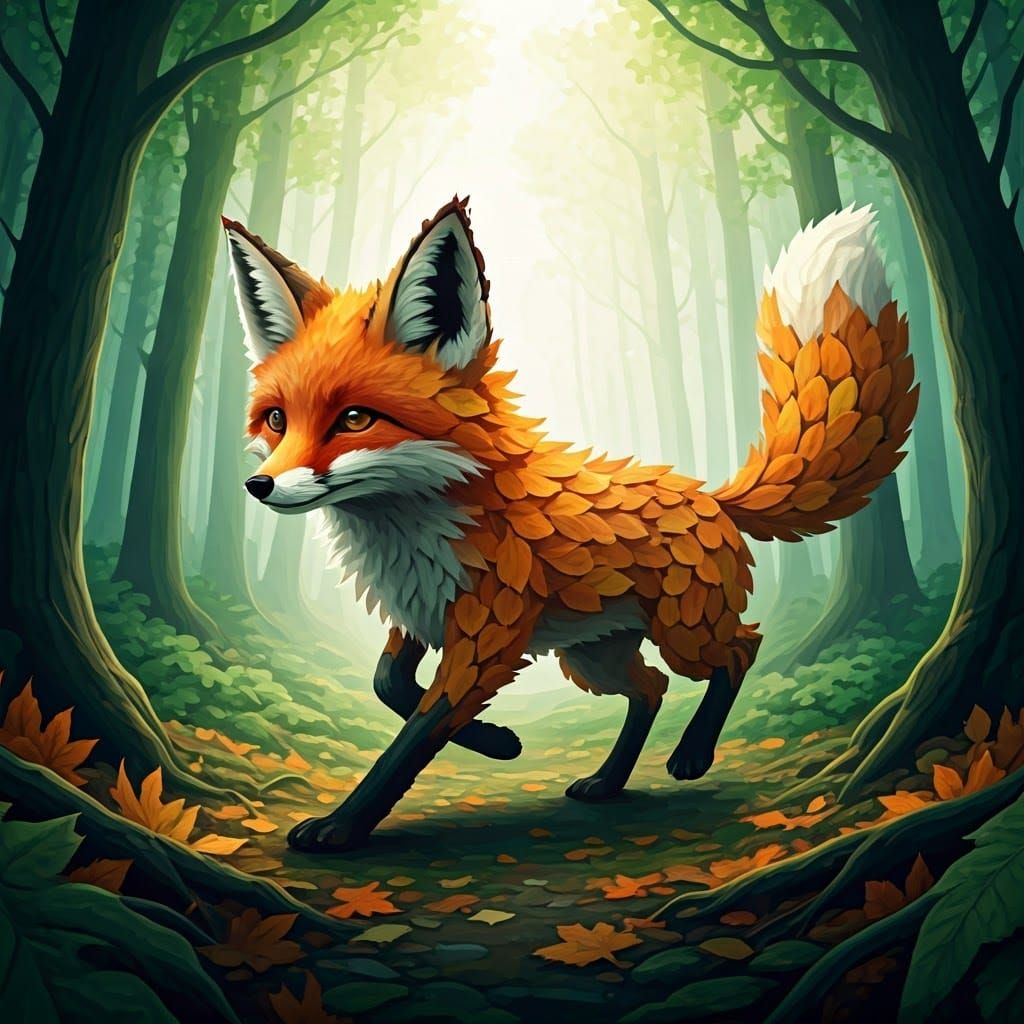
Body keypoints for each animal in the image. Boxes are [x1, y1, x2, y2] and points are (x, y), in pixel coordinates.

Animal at [222, 197, 917, 852]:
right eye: (278, 420)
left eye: (355, 419)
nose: (258, 487)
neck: (408, 528)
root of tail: (711, 497)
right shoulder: (417, 612)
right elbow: (390, 685)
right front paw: (498, 741)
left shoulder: (489, 631)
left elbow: (416, 733)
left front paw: (342, 827)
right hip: (591, 658)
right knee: (651, 688)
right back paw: (608, 781)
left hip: (683, 632)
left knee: (740, 649)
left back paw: (693, 754)